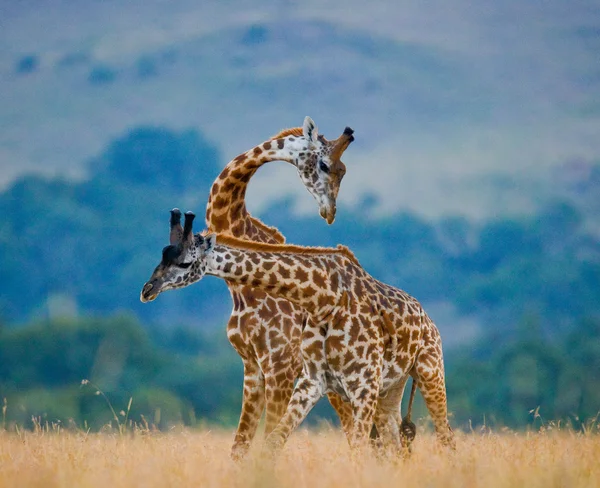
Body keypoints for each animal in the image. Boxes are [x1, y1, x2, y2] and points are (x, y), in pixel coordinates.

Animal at [139, 214, 450, 458]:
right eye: (163, 254)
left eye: (184, 263)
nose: (147, 290)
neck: (323, 299)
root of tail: (429, 320)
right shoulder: (313, 381)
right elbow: (272, 443)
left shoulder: (363, 385)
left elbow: (359, 452)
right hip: (391, 389)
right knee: (398, 449)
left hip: (429, 370)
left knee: (445, 438)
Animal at [168, 116, 356, 460]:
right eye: (325, 165)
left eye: (343, 169)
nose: (329, 212)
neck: (240, 290)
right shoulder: (252, 365)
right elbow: (239, 448)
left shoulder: (280, 365)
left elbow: (267, 444)